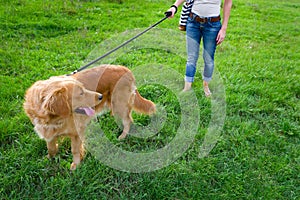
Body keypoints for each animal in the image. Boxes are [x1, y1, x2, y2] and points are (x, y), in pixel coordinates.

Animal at [22, 64, 157, 170]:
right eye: (80, 93)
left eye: (83, 89)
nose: (100, 96)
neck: (54, 119)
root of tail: (125, 69)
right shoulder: (48, 134)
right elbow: (51, 149)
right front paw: (49, 159)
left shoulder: (76, 133)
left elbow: (75, 150)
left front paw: (75, 165)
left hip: (119, 104)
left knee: (128, 120)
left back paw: (122, 136)